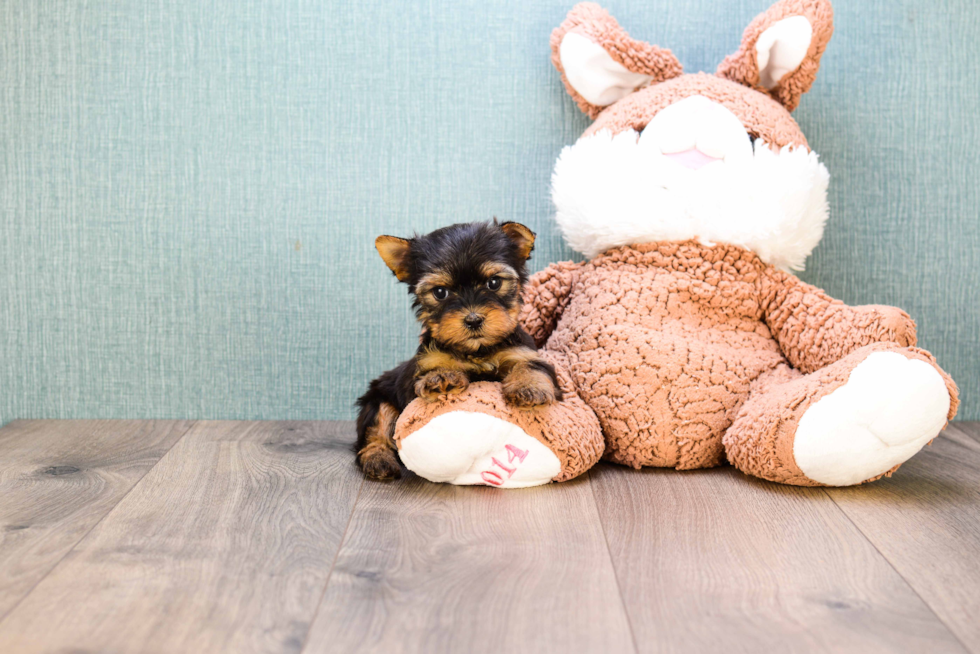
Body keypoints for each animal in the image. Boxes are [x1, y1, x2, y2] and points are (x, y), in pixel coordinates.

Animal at [356, 220, 564, 482]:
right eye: (440, 292)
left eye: (494, 283)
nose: (473, 320)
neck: (476, 350)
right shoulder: (422, 367)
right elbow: (432, 372)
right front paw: (441, 378)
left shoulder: (524, 352)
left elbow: (531, 366)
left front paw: (528, 388)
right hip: (378, 398)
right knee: (376, 430)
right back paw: (378, 460)